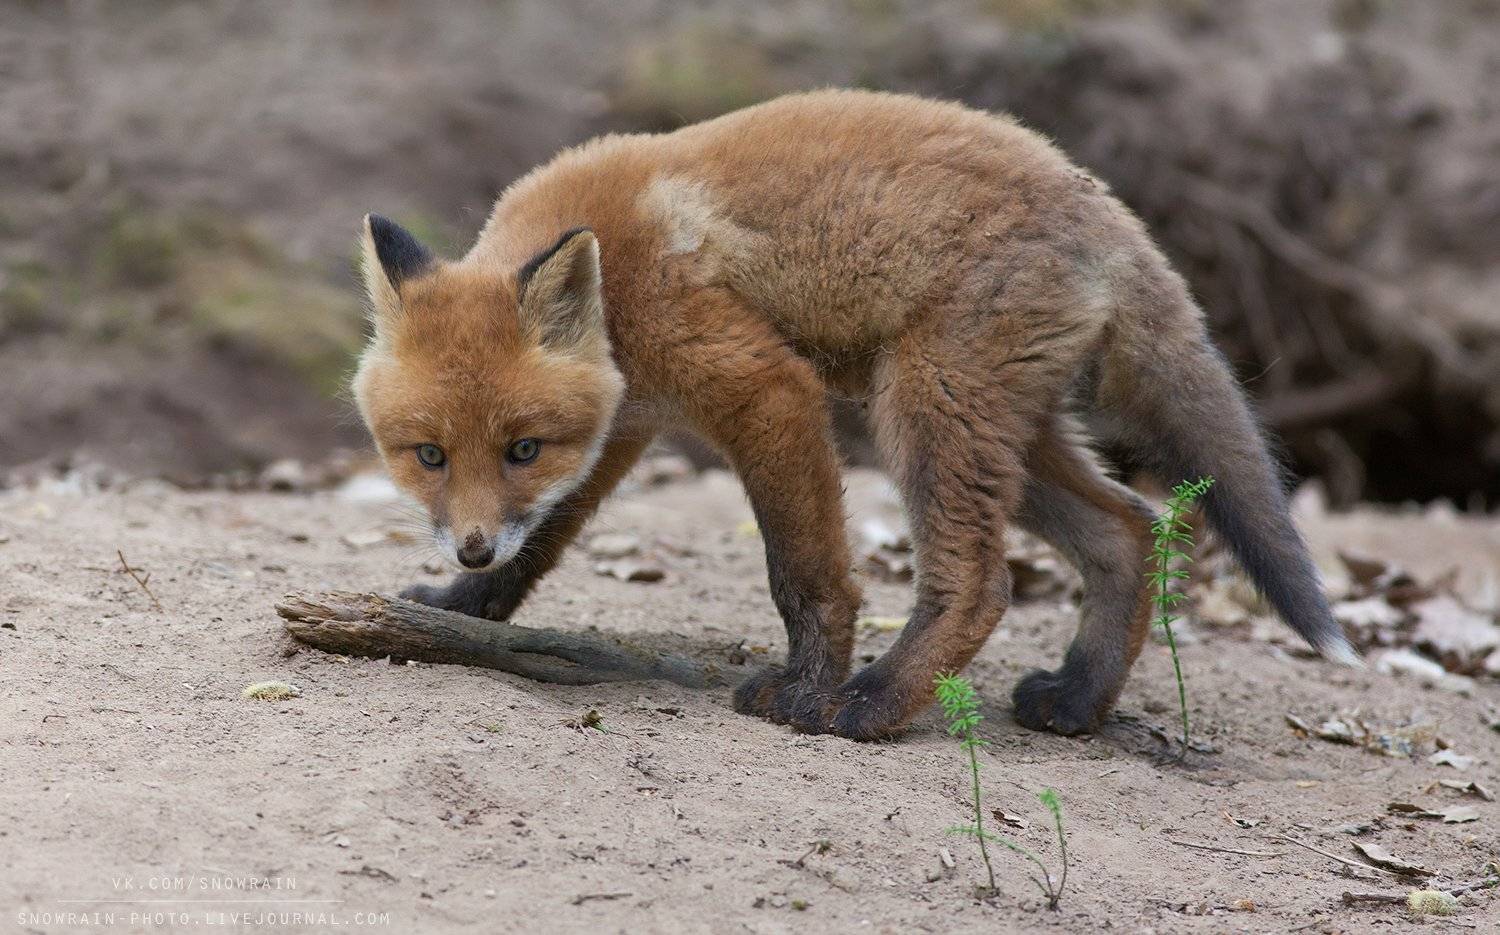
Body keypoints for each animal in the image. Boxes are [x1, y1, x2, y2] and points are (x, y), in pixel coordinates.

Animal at [352, 89, 1356, 741]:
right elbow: (540, 549)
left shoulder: (765, 388)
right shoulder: (621, 425)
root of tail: (1111, 213)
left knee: (982, 583)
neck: (620, 287)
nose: (470, 545)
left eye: (521, 447)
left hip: (923, 408)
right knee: (1129, 528)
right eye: (428, 456)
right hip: (992, 428)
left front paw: (806, 685)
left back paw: (871, 704)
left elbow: (804, 574)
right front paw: (463, 608)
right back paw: (1077, 701)